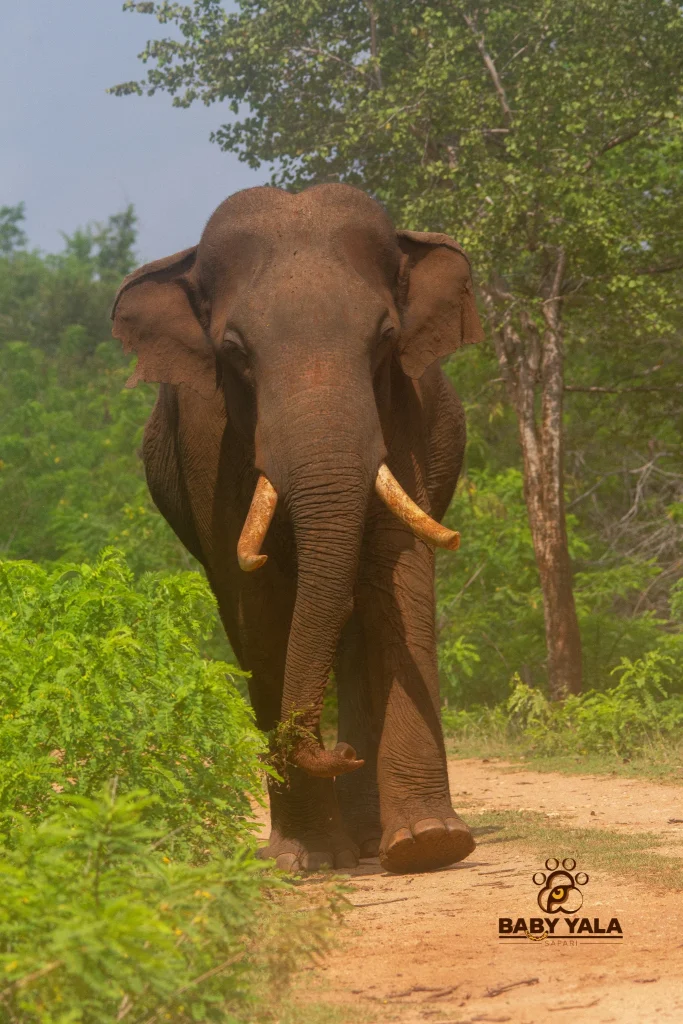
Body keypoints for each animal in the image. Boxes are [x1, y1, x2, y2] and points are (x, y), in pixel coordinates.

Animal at [111, 183, 483, 874]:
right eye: (234, 352)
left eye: (386, 338)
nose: (338, 753)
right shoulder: (211, 442)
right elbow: (256, 602)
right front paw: (305, 860)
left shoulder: (405, 413)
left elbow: (399, 567)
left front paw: (430, 845)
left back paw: (375, 835)